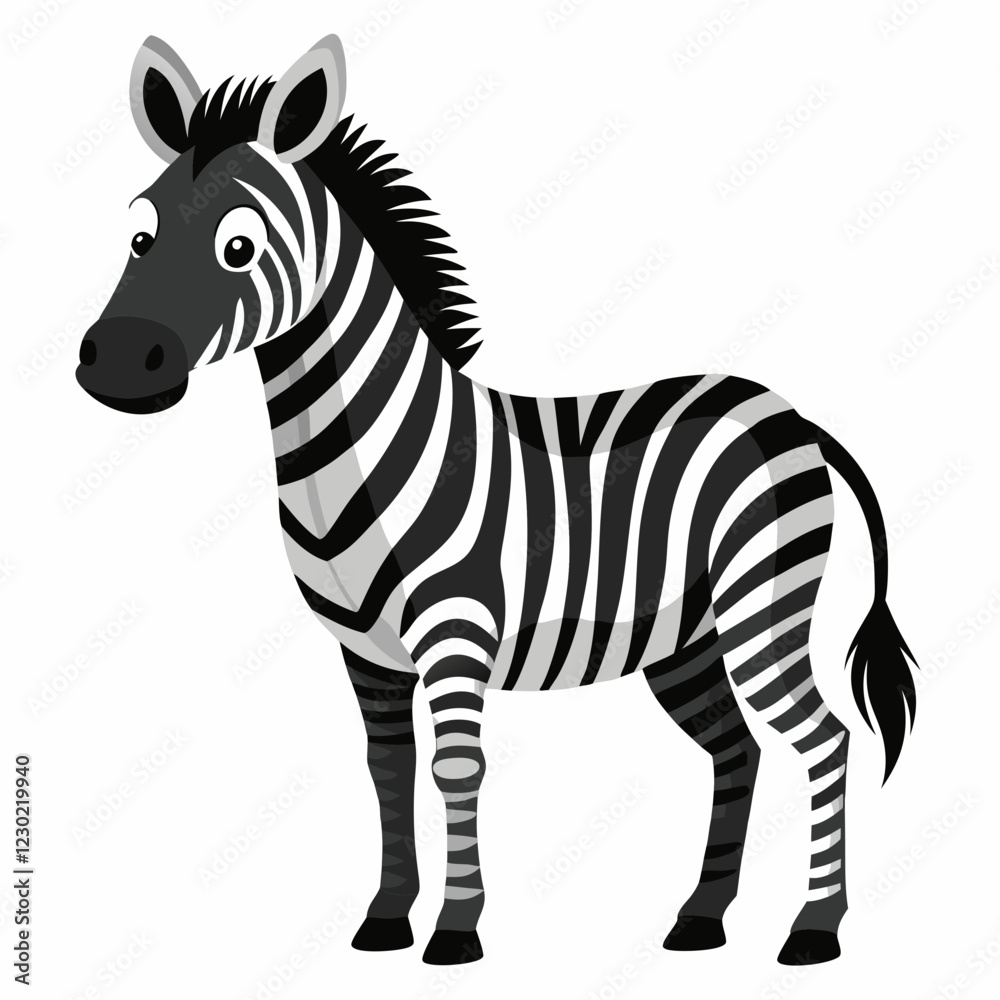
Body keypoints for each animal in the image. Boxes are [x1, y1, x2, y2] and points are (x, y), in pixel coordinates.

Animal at [76, 35, 919, 967]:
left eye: (238, 249)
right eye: (140, 232)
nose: (116, 362)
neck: (354, 456)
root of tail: (792, 414)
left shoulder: (456, 632)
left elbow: (456, 769)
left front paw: (455, 930)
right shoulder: (366, 652)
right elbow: (388, 770)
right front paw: (385, 918)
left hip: (761, 608)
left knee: (823, 740)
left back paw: (814, 929)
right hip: (683, 638)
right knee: (735, 750)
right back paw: (701, 919)